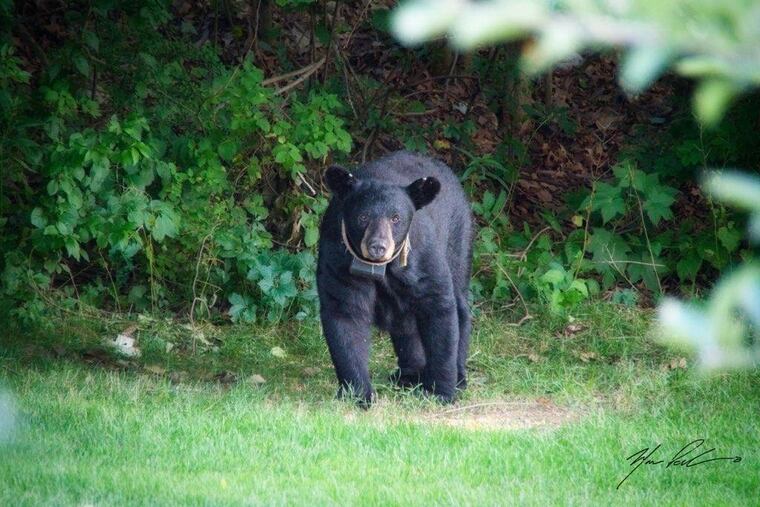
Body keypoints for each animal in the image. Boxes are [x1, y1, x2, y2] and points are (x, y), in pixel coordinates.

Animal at [316, 151, 473, 406]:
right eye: (362, 216)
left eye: (396, 218)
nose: (378, 246)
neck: (382, 268)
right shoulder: (338, 258)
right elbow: (345, 313)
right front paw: (358, 394)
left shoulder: (421, 256)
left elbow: (439, 307)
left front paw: (441, 392)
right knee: (405, 324)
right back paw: (409, 374)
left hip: (458, 237)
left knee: (459, 300)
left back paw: (458, 376)